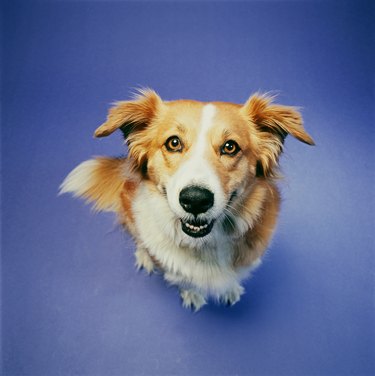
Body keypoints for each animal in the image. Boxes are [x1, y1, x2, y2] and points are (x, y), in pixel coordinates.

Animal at [61, 89, 314, 310]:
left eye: (230, 147)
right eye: (174, 143)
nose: (195, 200)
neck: (204, 244)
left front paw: (230, 289)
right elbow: (186, 281)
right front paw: (192, 294)